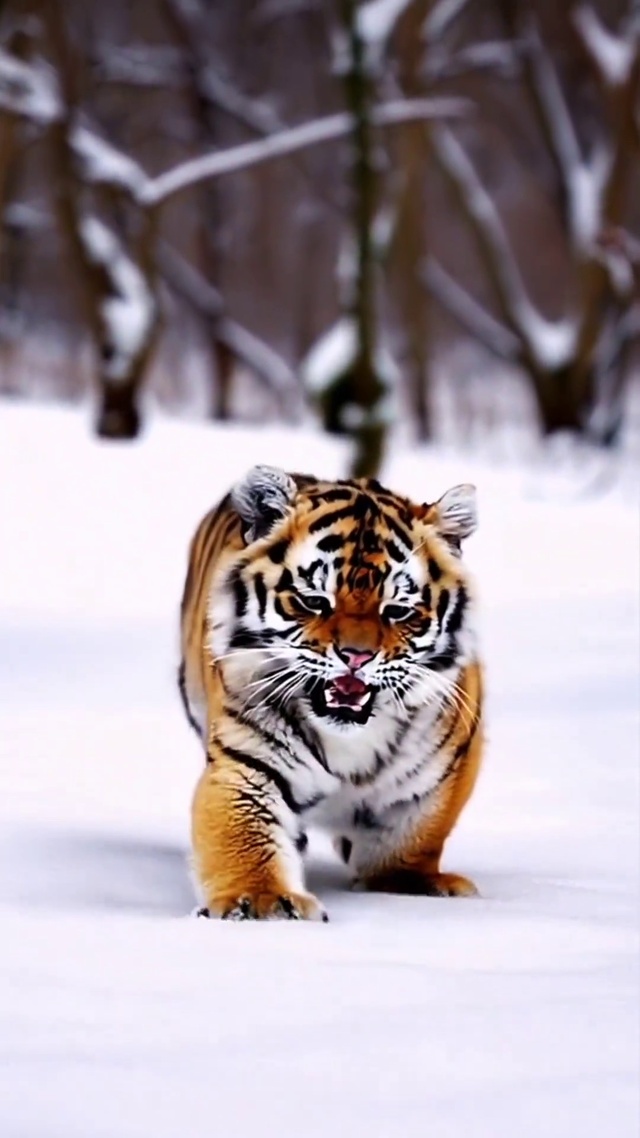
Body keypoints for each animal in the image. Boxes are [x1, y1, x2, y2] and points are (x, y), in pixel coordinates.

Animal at [179, 465, 483, 921]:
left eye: (397, 610)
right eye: (314, 601)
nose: (356, 656)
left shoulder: (444, 769)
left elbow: (412, 837)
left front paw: (408, 885)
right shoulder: (246, 763)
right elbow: (245, 837)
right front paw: (263, 902)